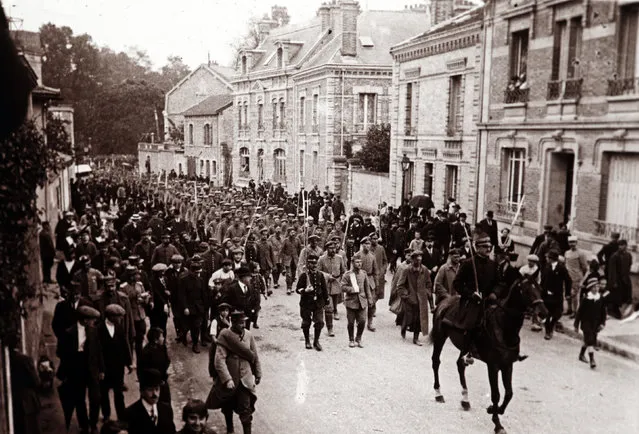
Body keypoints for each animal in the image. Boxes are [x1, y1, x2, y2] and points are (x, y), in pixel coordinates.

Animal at [430, 278, 552, 434]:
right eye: (526, 290)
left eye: (540, 289)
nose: (543, 313)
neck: (504, 328)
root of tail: (445, 300)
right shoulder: (493, 366)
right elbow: (496, 394)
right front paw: (497, 423)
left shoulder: (507, 365)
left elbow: (509, 393)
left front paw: (494, 410)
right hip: (440, 336)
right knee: (436, 362)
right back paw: (438, 394)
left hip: (464, 347)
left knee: (460, 364)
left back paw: (465, 400)